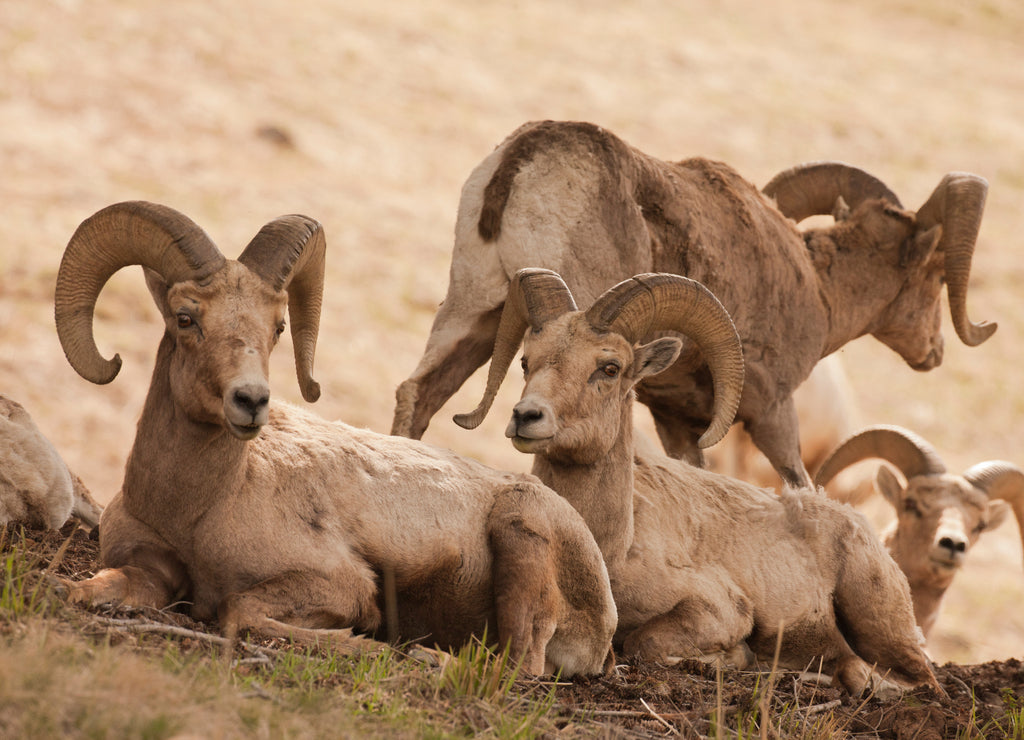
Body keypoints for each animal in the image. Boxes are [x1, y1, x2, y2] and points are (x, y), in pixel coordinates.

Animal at [55, 201, 617, 677]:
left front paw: (366, 644)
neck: (196, 508)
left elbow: (239, 612)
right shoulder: (149, 565)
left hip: (519, 528)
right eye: (185, 318)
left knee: (518, 666)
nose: (251, 401)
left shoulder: (340, 585)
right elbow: (106, 586)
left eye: (277, 327)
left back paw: (425, 657)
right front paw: (72, 590)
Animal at [391, 120, 995, 490]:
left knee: (418, 395)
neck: (819, 291)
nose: (934, 352)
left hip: (477, 311)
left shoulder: (678, 420)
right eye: (937, 274)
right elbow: (800, 485)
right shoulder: (772, 411)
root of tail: (525, 158)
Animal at [455, 267, 938, 695]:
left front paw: (728, 660)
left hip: (876, 620)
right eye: (526, 361)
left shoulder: (716, 608)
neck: (614, 549)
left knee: (912, 677)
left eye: (609, 368)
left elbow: (643, 642)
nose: (526, 416)